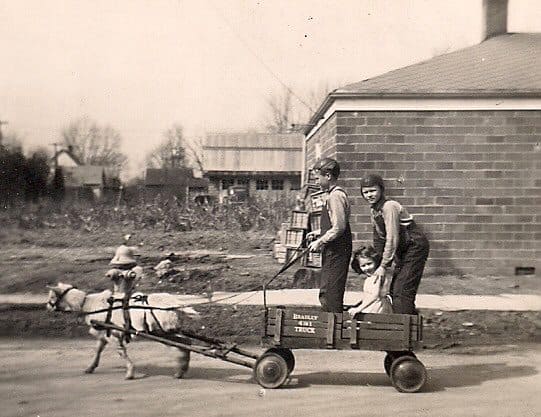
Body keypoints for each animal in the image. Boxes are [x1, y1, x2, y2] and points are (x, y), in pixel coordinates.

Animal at [46, 282, 200, 378]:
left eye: (52, 296)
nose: (47, 306)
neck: (86, 303)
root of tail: (176, 303)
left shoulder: (112, 333)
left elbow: (121, 352)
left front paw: (130, 372)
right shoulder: (104, 333)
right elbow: (98, 350)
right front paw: (91, 367)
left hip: (163, 330)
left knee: (184, 344)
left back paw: (181, 369)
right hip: (169, 330)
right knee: (186, 342)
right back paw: (182, 369)